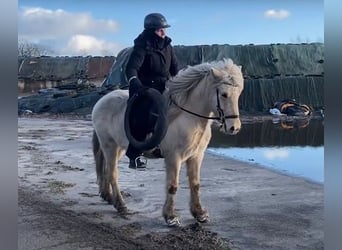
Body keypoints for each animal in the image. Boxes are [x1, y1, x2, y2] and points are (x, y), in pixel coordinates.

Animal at [92, 58, 244, 227]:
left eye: (238, 94)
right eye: (224, 94)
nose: (234, 128)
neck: (187, 117)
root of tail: (102, 101)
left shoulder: (196, 156)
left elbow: (195, 184)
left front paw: (199, 213)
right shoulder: (174, 157)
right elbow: (173, 186)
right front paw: (171, 217)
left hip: (118, 148)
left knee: (106, 170)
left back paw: (108, 196)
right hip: (109, 146)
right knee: (113, 174)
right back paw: (120, 205)